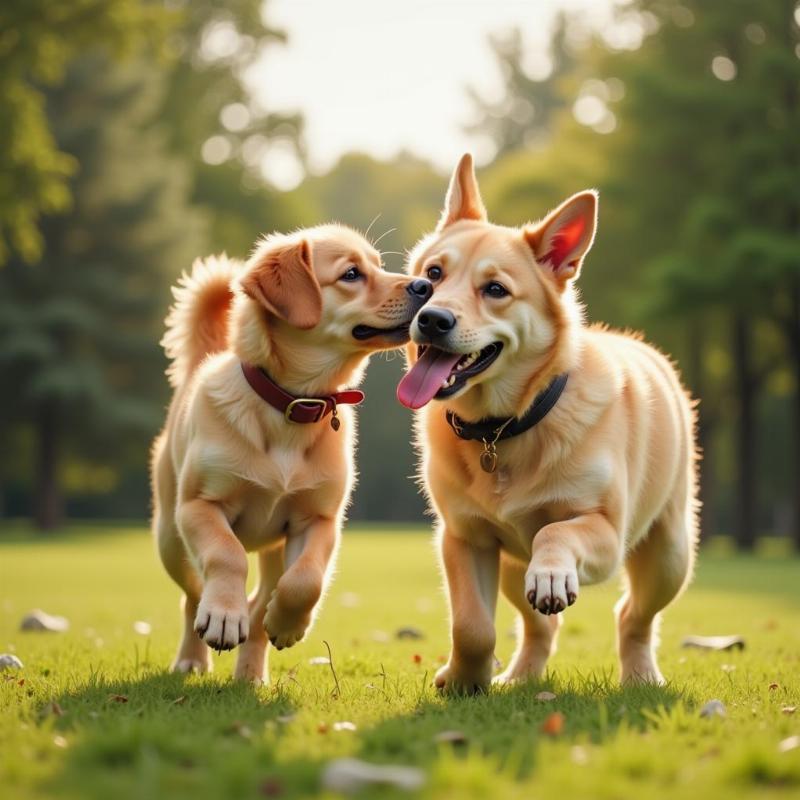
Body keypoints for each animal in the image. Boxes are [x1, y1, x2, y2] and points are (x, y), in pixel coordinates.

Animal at [153, 223, 434, 680]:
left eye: (378, 264)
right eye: (351, 274)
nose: (427, 285)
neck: (293, 404)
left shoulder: (318, 518)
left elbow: (306, 580)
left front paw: (287, 623)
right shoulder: (199, 505)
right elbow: (227, 555)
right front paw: (224, 616)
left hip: (272, 548)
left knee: (260, 603)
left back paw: (252, 671)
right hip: (170, 538)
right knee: (193, 596)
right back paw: (193, 657)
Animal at [396, 155, 696, 688]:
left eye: (496, 290)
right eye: (432, 274)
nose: (432, 318)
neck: (503, 428)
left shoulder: (605, 533)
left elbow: (555, 533)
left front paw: (553, 572)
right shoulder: (464, 537)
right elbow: (472, 626)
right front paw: (464, 680)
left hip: (668, 556)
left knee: (633, 616)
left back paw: (640, 676)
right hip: (513, 569)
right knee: (541, 625)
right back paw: (520, 678)